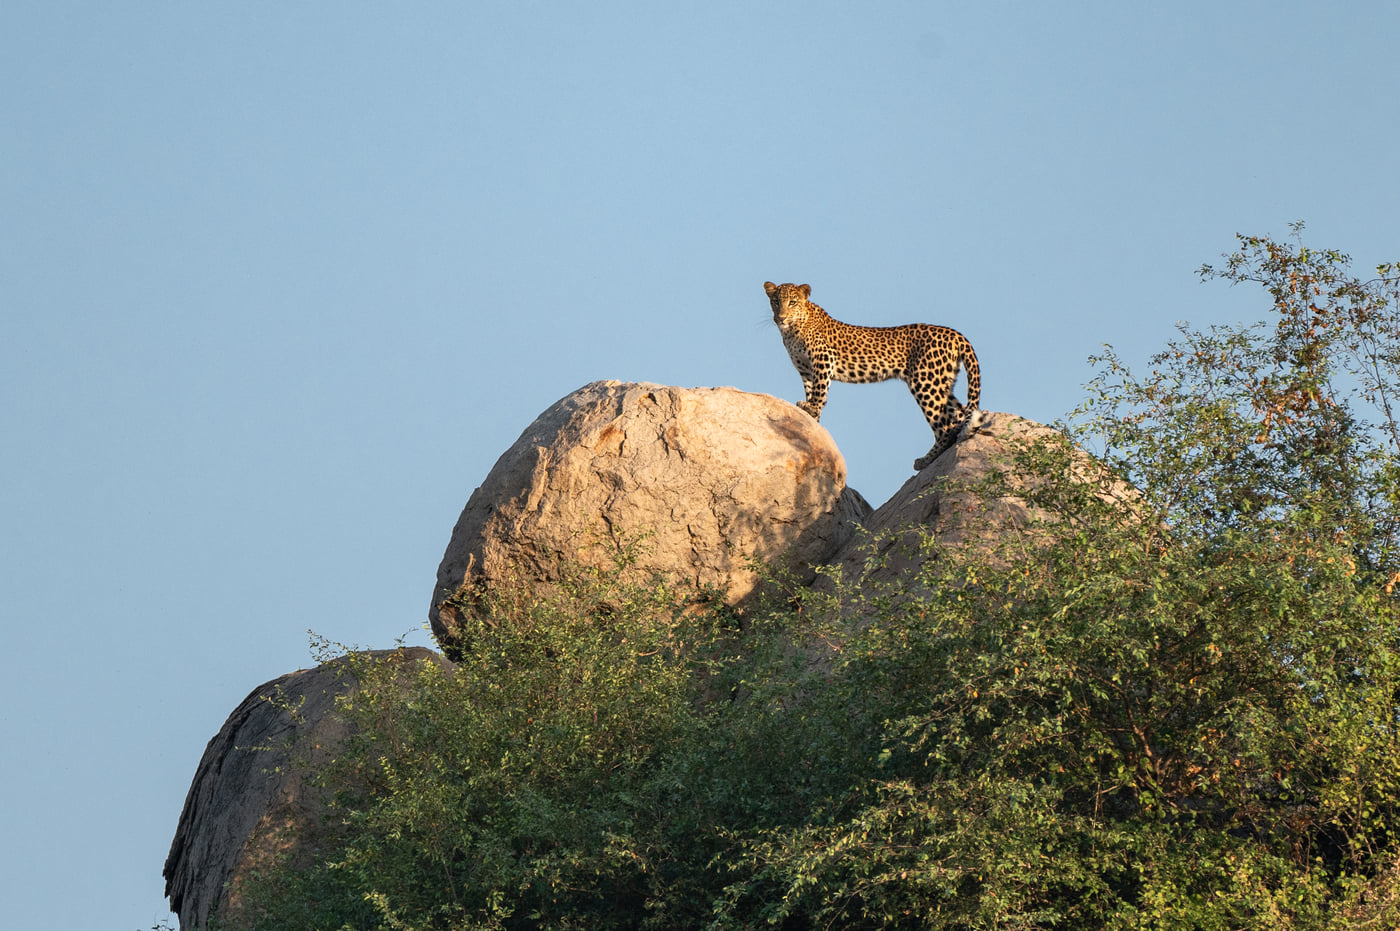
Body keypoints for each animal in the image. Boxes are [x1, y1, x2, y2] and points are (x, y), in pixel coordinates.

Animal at [764, 281, 982, 471]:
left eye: (792, 302)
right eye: (775, 302)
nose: (780, 318)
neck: (792, 331)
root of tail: (956, 334)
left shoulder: (823, 360)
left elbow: (819, 391)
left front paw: (812, 408)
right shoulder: (805, 370)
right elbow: (810, 390)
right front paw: (812, 418)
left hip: (925, 381)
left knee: (944, 426)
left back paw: (925, 460)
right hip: (941, 381)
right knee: (959, 415)